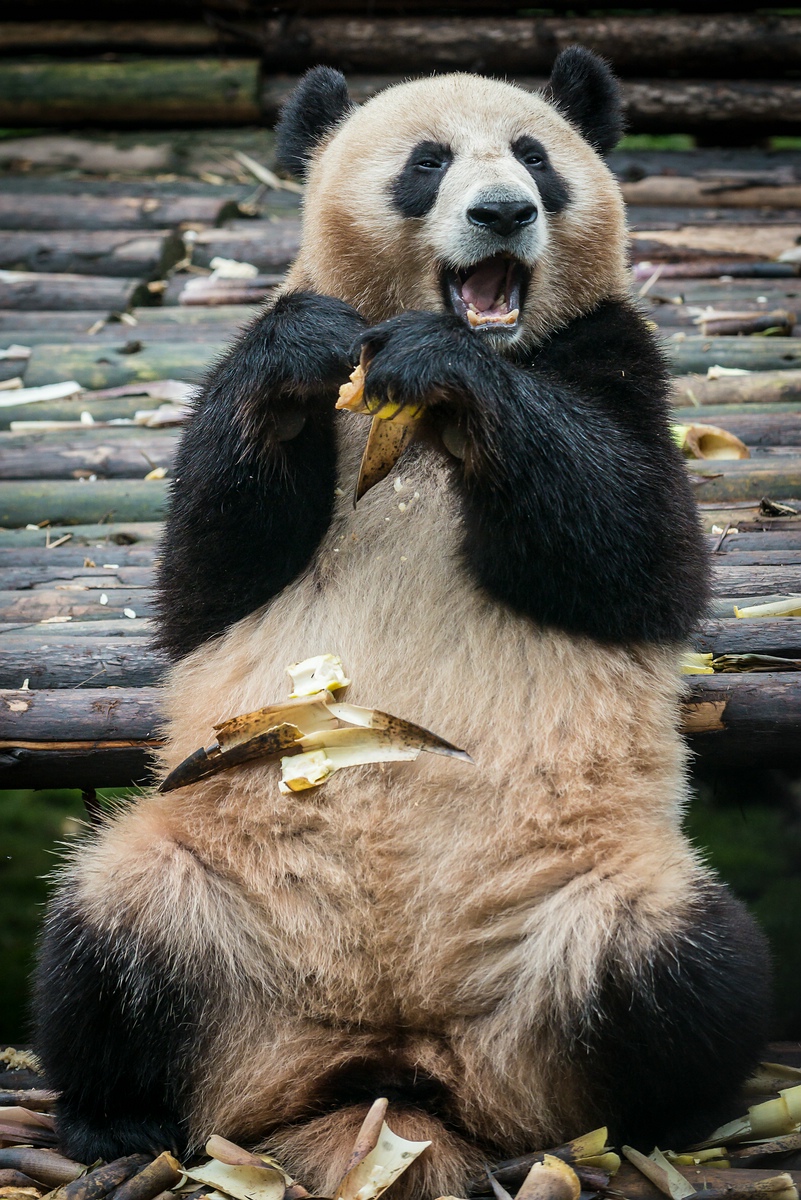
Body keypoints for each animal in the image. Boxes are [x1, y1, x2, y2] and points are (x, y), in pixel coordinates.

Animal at [36, 49, 770, 1200]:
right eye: (427, 164)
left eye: (534, 157)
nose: (505, 211)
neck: (415, 417)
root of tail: (390, 1063)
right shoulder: (287, 400)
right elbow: (206, 569)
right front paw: (306, 348)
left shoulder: (612, 358)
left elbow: (639, 553)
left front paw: (447, 365)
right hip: (196, 894)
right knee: (98, 942)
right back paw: (113, 1117)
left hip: (588, 911)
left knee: (692, 974)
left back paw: (670, 1117)